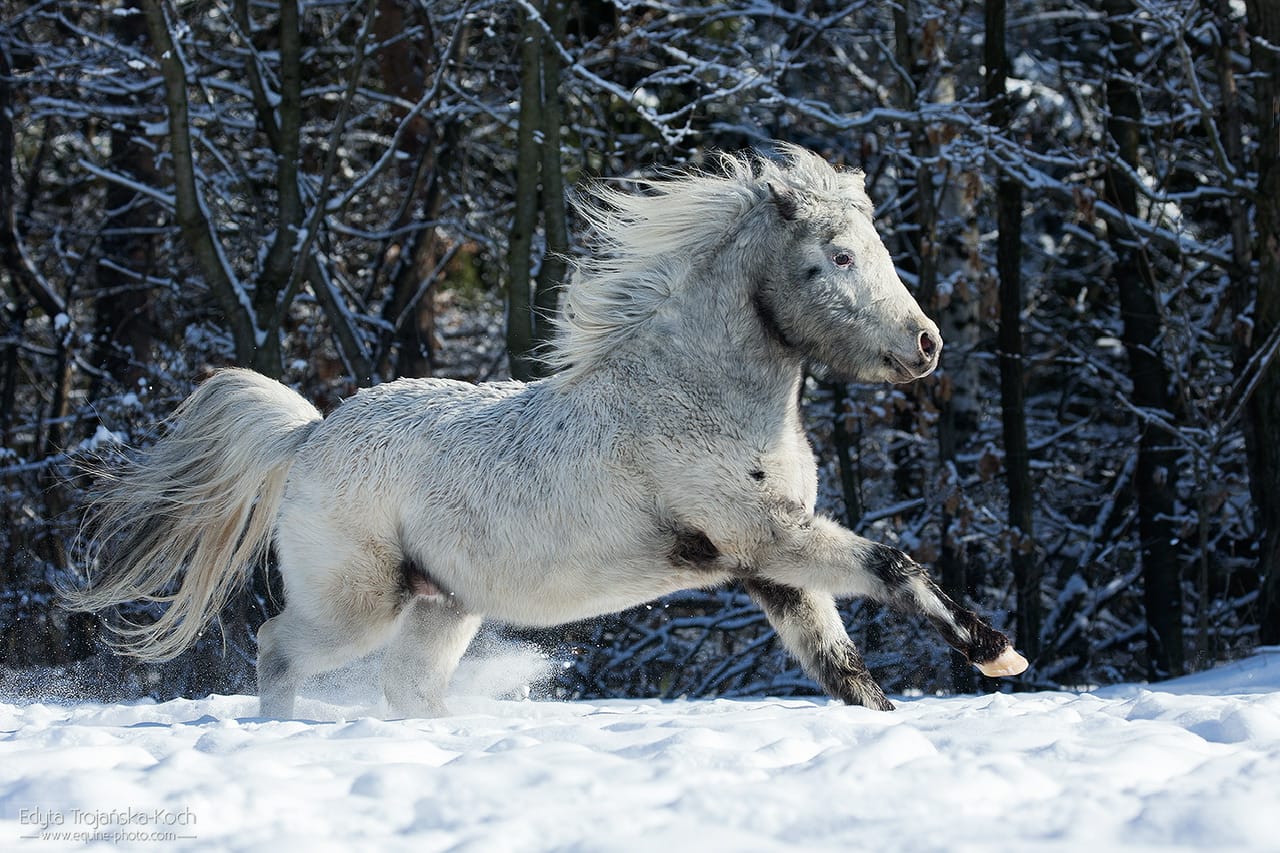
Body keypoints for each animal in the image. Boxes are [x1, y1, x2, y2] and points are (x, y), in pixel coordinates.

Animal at [68, 144, 1027, 718]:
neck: (692, 393)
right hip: (358, 603)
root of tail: (310, 435)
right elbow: (896, 568)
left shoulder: (772, 566)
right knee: (277, 651)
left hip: (442, 604)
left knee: (405, 685)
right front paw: (999, 656)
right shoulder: (770, 540)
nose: (927, 346)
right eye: (837, 255)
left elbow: (840, 664)